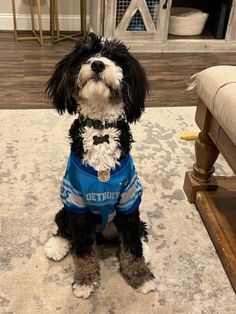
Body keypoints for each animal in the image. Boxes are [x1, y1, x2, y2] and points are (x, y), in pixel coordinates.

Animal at [44, 33, 155, 298]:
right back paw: (56, 244)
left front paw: (140, 276)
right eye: (84, 55)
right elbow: (84, 249)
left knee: (137, 232)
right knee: (64, 226)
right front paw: (85, 281)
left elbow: (132, 247)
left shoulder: (128, 201)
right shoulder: (77, 203)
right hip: (67, 208)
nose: (97, 64)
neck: (100, 131)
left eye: (115, 57)